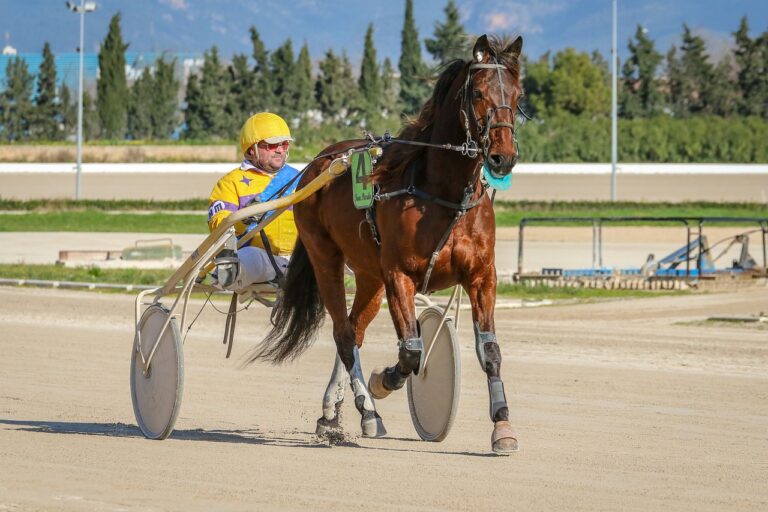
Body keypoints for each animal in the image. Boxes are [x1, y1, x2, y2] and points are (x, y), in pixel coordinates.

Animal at [249, 34, 524, 454]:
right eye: (478, 92)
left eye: (518, 93)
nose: (502, 156)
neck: (442, 194)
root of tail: (318, 163)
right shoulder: (399, 275)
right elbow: (411, 352)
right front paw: (383, 381)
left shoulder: (481, 276)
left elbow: (489, 350)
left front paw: (503, 426)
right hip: (325, 256)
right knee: (344, 335)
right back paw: (368, 411)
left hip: (368, 274)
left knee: (353, 331)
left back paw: (331, 413)